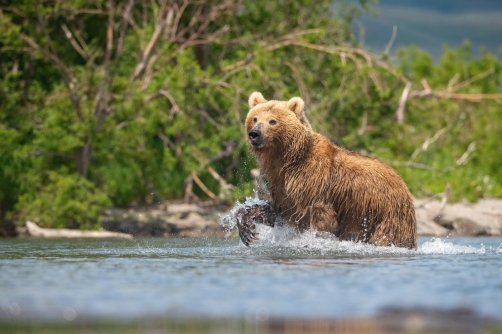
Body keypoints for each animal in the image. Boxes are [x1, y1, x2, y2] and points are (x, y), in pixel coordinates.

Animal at [237, 91, 418, 248]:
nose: (255, 134)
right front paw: (246, 229)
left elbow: (322, 220)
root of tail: (404, 184)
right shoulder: (283, 186)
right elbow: (278, 211)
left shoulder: (315, 184)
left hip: (386, 214)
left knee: (387, 237)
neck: (288, 160)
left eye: (272, 121)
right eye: (254, 118)